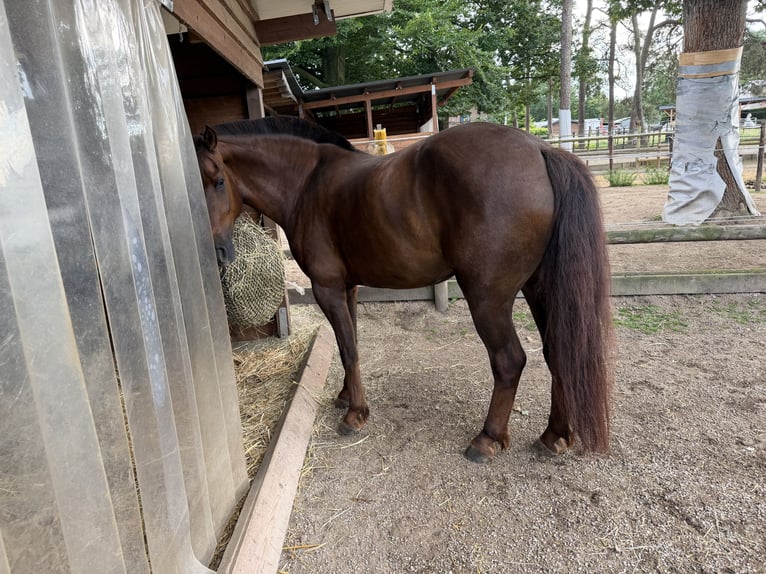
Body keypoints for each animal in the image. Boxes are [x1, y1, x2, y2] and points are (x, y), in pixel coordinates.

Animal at [193, 116, 613, 463]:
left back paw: (487, 439)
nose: (215, 252)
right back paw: (554, 436)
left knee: (509, 361)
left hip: (488, 298)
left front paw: (355, 415)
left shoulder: (326, 288)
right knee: (559, 352)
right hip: (539, 289)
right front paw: (346, 397)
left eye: (218, 180)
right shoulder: (347, 289)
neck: (307, 182)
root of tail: (539, 149)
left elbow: (348, 349)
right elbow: (350, 344)